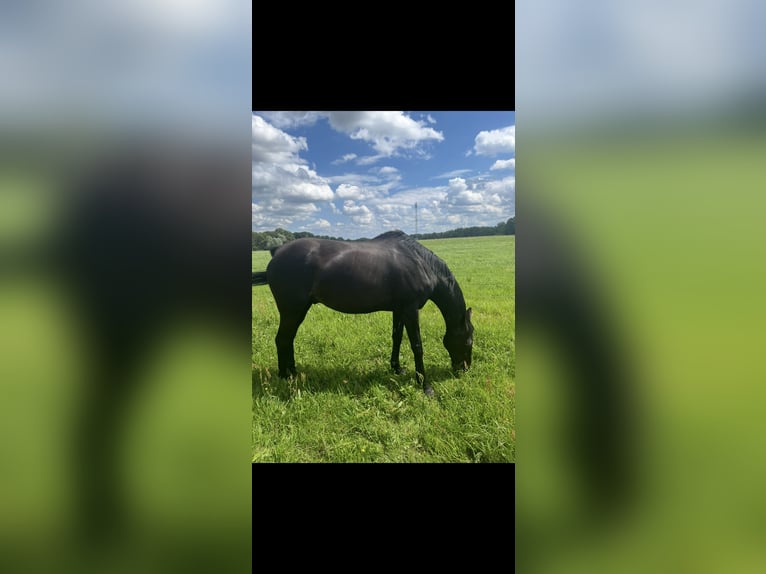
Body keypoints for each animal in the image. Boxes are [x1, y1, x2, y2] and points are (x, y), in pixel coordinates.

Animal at [252, 230, 474, 396]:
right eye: (469, 340)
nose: (464, 369)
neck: (420, 263)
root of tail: (277, 251)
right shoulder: (410, 310)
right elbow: (417, 346)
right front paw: (425, 385)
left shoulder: (400, 309)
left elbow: (396, 338)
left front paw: (396, 368)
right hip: (292, 310)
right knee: (282, 339)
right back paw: (285, 376)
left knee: (287, 340)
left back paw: (293, 372)